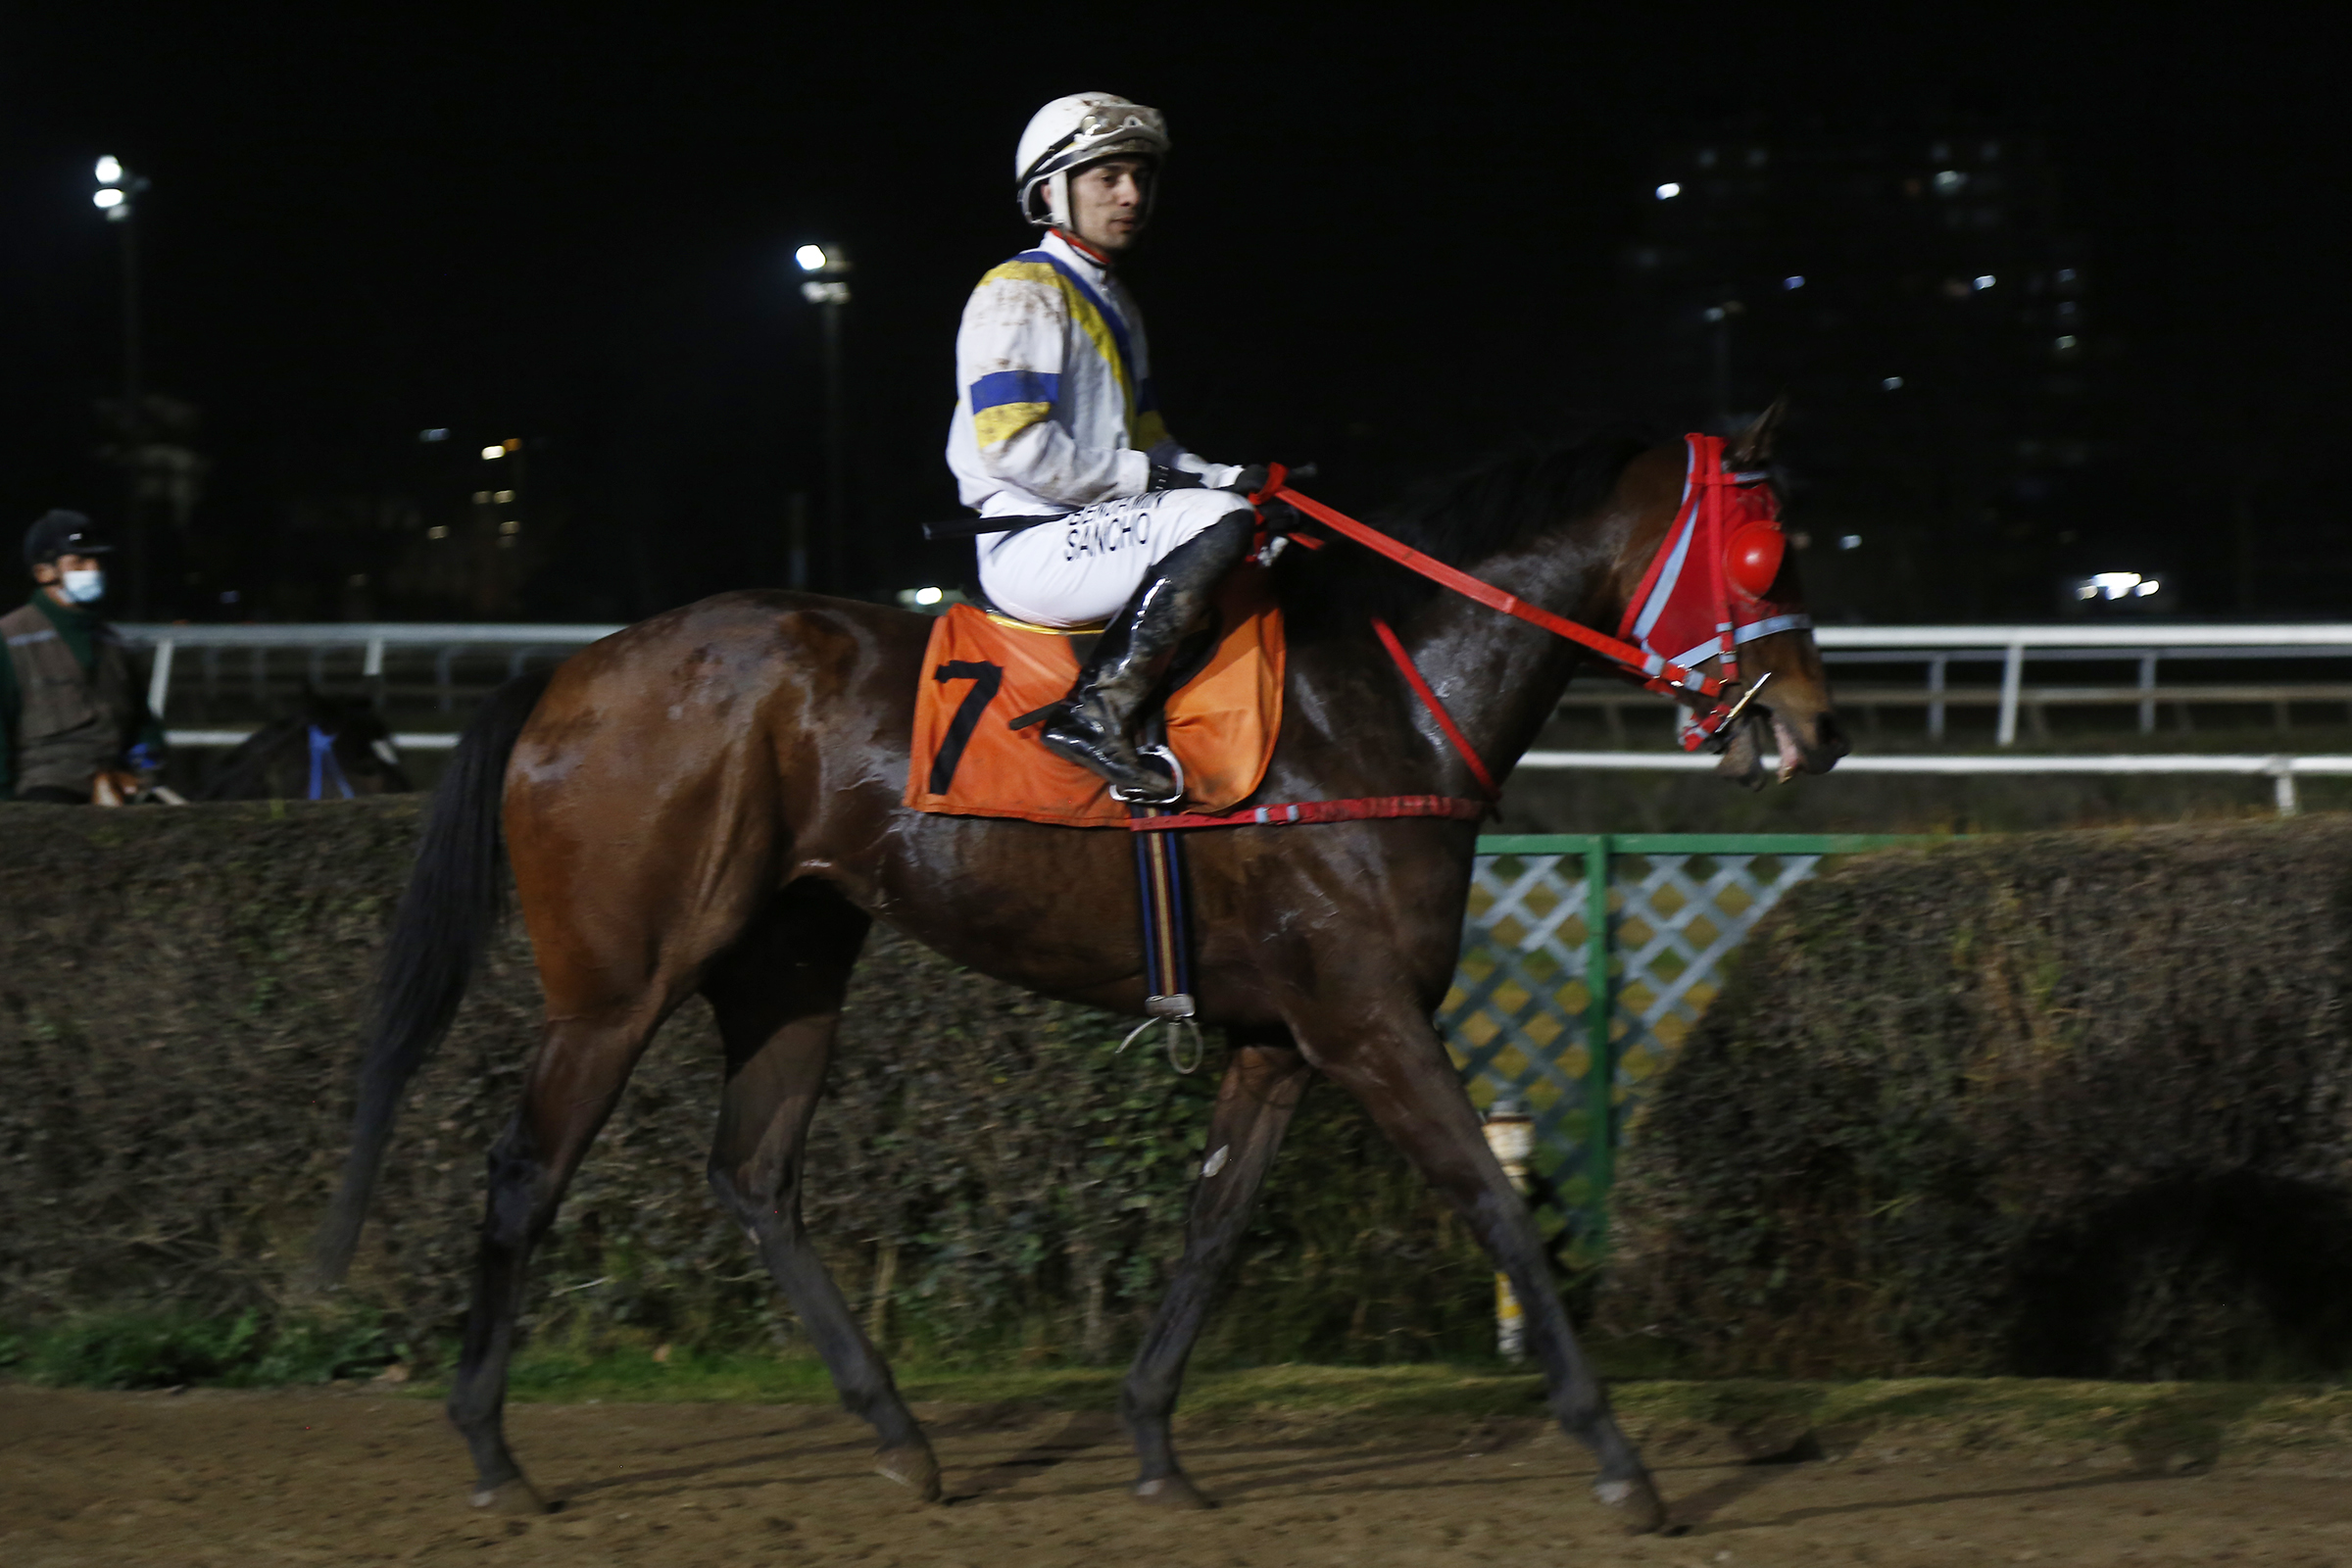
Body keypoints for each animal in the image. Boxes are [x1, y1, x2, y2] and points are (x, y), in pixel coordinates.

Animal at [313, 409, 1846, 1534]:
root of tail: (571, 674)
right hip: (617, 981)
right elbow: (1496, 1208)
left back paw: (900, 1436)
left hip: (792, 957)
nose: (1816, 733)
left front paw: (1154, 1439)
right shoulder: (1369, 1020)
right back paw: (491, 1451)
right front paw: (1622, 1461)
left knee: (754, 1173)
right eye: (1765, 555)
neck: (1381, 705)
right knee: (528, 1170)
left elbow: (1214, 1229)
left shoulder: (1280, 1035)